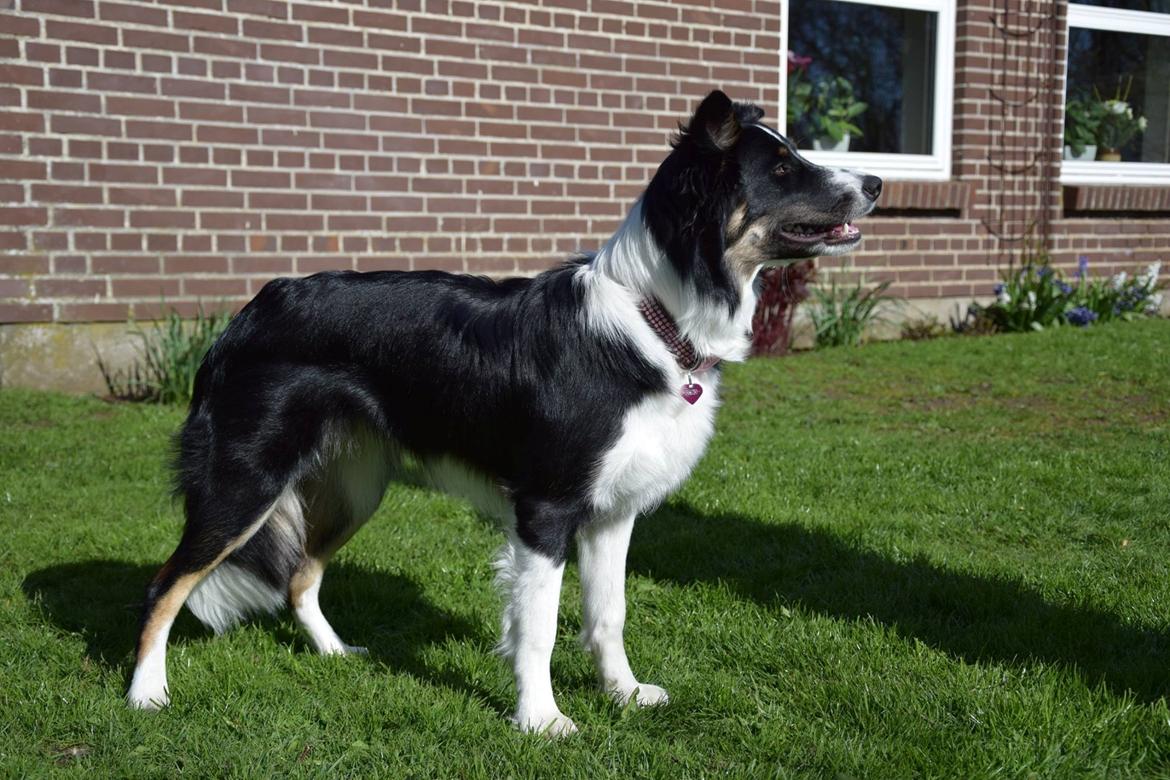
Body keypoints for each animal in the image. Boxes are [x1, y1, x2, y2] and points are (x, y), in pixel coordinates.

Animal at [128, 90, 879, 734]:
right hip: (247, 481)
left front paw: (623, 694)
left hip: (355, 486)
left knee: (300, 575)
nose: (875, 183)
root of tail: (244, 314)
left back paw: (334, 655)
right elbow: (539, 626)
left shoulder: (613, 512)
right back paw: (146, 693)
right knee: (167, 581)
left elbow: (609, 613)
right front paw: (542, 720)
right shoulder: (546, 508)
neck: (656, 314)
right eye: (782, 168)